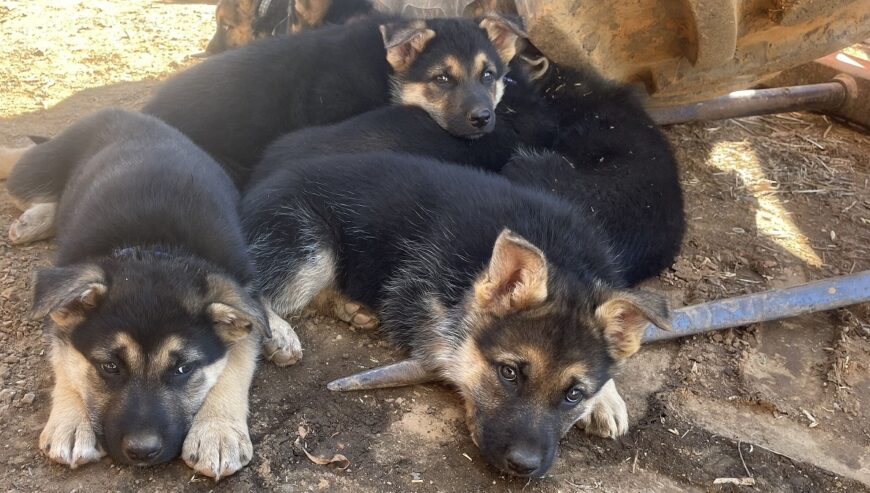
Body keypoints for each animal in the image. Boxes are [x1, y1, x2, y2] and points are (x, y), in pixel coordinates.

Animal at [2, 109, 304, 478]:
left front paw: (217, 430)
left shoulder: (235, 293)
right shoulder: (60, 313)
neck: (155, 249)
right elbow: (67, 362)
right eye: (110, 367)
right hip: (35, 174)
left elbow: (238, 358)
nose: (142, 452)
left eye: (182, 369)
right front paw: (71, 422)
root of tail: (131, 115)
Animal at [244, 153, 676, 476]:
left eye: (573, 394)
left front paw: (607, 398)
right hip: (311, 246)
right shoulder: (423, 307)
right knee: (252, 284)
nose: (524, 468)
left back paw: (350, 308)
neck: (560, 255)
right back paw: (279, 333)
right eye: (509, 373)